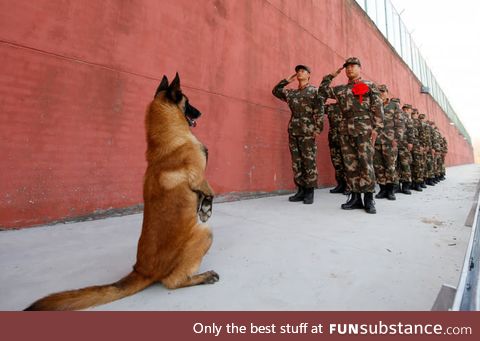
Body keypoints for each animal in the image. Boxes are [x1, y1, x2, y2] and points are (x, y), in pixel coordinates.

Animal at [26, 73, 219, 310]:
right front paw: (206, 209)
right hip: (204, 235)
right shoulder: (198, 176)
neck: (169, 138)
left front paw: (203, 208)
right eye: (188, 102)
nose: (200, 113)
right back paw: (202, 277)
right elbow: (209, 191)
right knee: (173, 281)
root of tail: (142, 271)